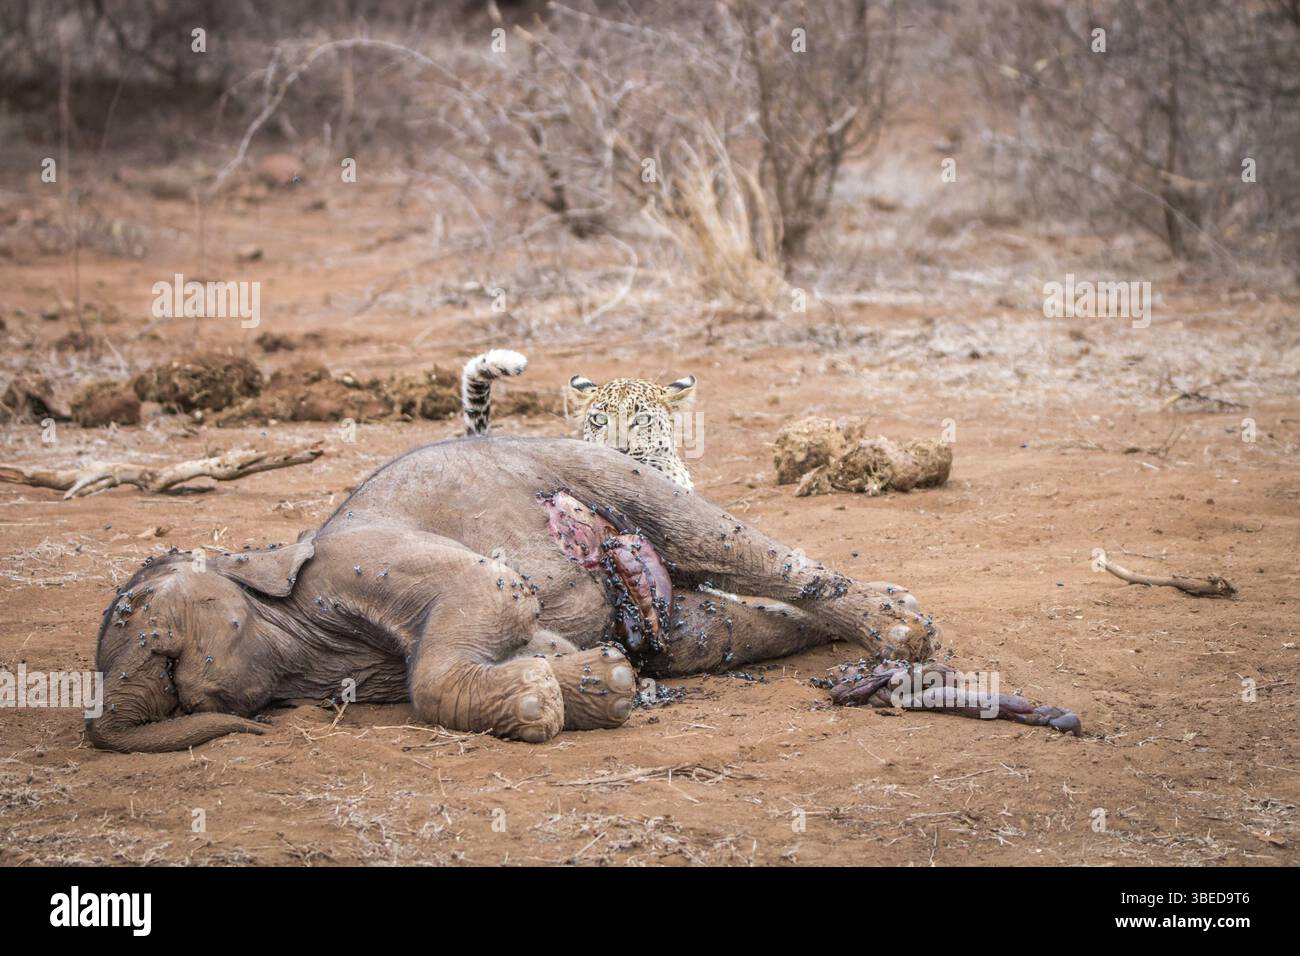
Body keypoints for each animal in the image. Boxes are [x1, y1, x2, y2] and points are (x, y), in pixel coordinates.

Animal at [86, 436, 1080, 752]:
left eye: (137, 618)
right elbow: (536, 645)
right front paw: (593, 686)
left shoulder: (365, 558)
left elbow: (491, 598)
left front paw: (552, 700)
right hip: (664, 599)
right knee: (702, 630)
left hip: (603, 470)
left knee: (724, 542)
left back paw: (903, 633)